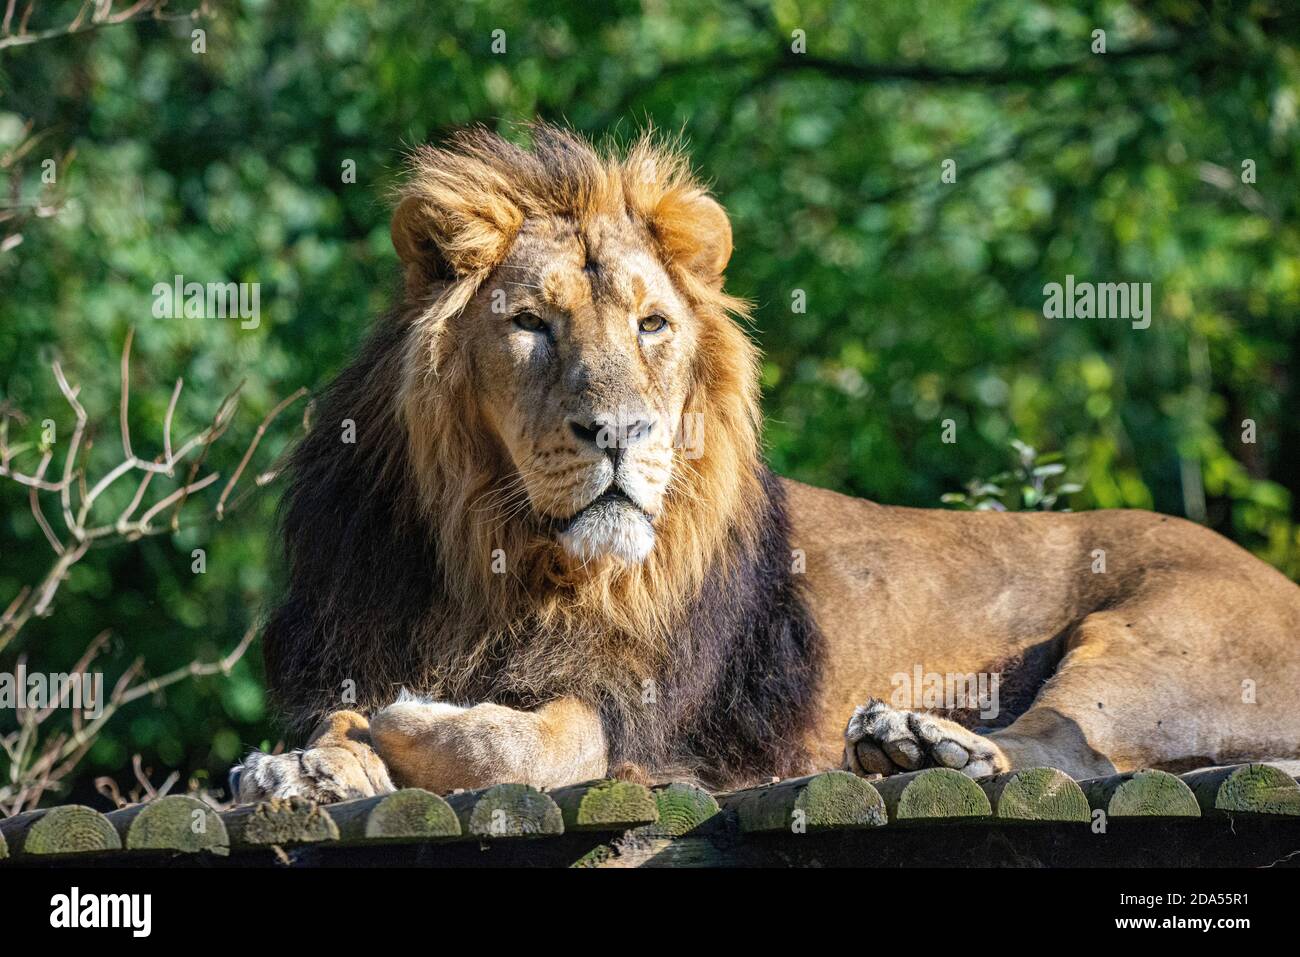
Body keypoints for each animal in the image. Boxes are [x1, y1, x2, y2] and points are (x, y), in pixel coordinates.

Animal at [231, 123, 1300, 804]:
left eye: (651, 324)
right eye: (530, 324)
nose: (619, 432)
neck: (511, 560)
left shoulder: (658, 719)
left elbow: (549, 737)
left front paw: (409, 726)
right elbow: (342, 718)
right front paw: (305, 763)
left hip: (1154, 638)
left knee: (1067, 750)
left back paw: (924, 745)